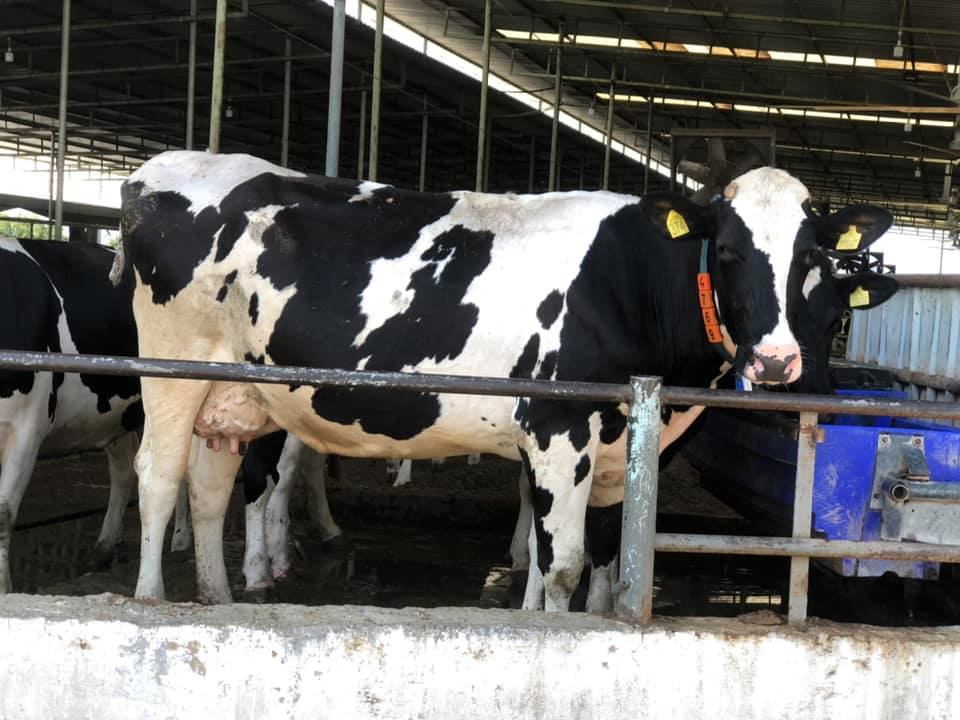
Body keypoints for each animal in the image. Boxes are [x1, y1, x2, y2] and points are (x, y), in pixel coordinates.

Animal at [115, 150, 893, 609]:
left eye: (810, 258)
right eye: (728, 251)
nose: (778, 362)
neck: (633, 283)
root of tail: (161, 169)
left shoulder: (616, 454)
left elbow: (601, 561)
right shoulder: (557, 430)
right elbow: (563, 565)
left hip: (233, 390)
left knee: (209, 490)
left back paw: (217, 599)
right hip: (172, 370)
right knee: (159, 475)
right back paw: (151, 600)